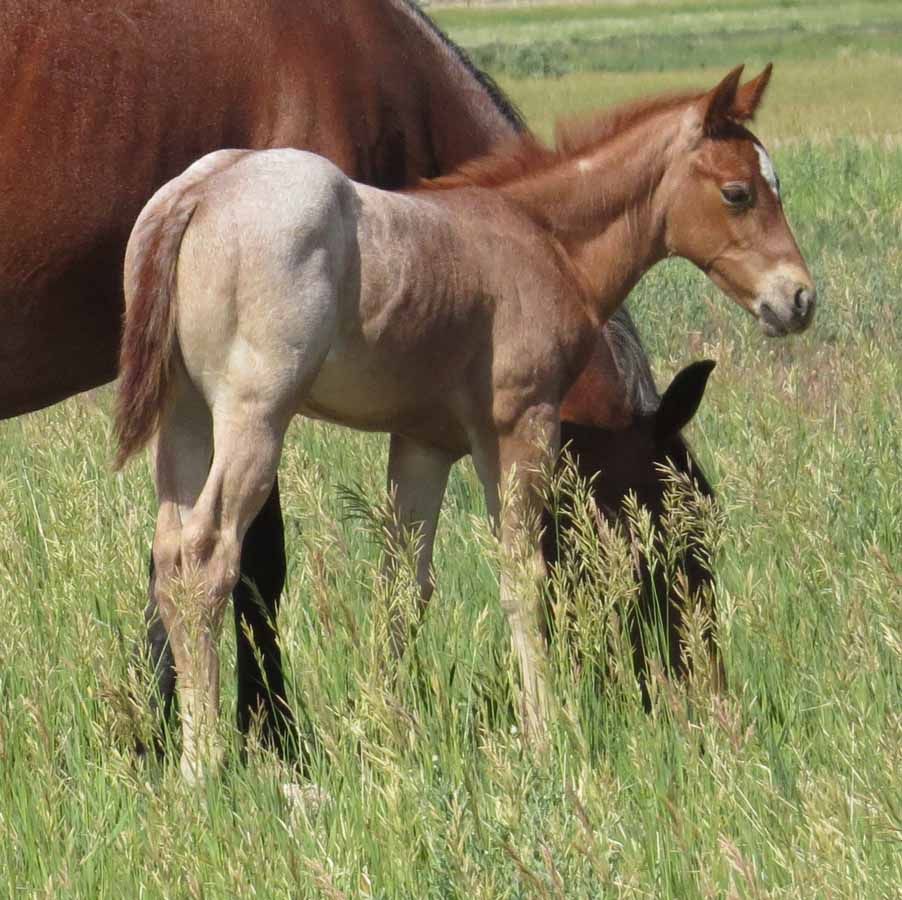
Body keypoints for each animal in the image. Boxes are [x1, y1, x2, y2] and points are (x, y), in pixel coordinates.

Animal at [114, 66, 815, 780]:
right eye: (738, 193)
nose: (798, 299)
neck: (543, 241)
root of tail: (197, 193)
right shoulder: (518, 426)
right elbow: (525, 578)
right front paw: (545, 734)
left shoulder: (422, 444)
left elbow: (403, 587)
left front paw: (385, 733)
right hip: (254, 419)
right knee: (206, 557)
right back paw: (203, 764)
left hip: (185, 418)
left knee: (170, 558)